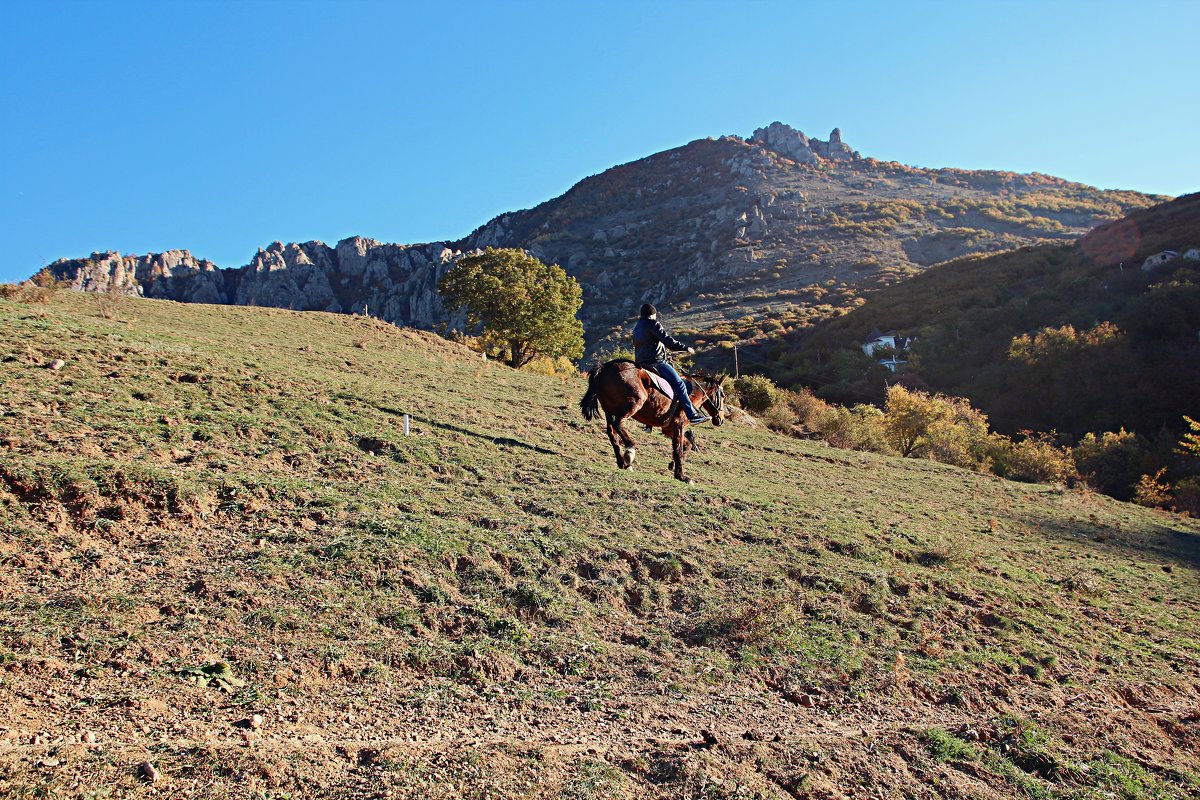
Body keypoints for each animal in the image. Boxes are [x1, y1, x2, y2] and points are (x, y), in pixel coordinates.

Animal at [578, 362, 724, 484]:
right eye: (722, 396)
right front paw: (682, 476)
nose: (721, 419)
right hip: (633, 403)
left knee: (612, 432)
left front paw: (673, 465)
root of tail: (605, 367)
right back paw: (630, 451)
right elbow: (678, 449)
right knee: (617, 423)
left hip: (609, 410)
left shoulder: (669, 429)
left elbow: (685, 445)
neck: (692, 392)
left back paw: (622, 462)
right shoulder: (679, 425)